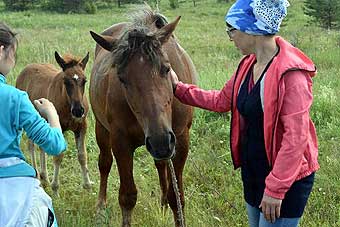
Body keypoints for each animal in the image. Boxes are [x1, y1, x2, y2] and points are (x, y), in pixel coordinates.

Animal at [15, 51, 91, 193]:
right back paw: (38, 176)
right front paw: (55, 188)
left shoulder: (82, 126)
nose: (78, 111)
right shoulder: (58, 127)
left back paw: (44, 177)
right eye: (65, 81)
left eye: (84, 80)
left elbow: (82, 155)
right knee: (31, 145)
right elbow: (58, 156)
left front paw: (88, 186)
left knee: (41, 146)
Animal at [89, 7, 198, 226]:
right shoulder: (121, 142)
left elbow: (177, 198)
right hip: (101, 129)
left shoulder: (180, 140)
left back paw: (163, 203)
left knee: (161, 165)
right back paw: (101, 206)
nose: (160, 141)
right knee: (104, 163)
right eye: (122, 78)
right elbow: (127, 196)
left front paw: (169, 204)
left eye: (166, 68)